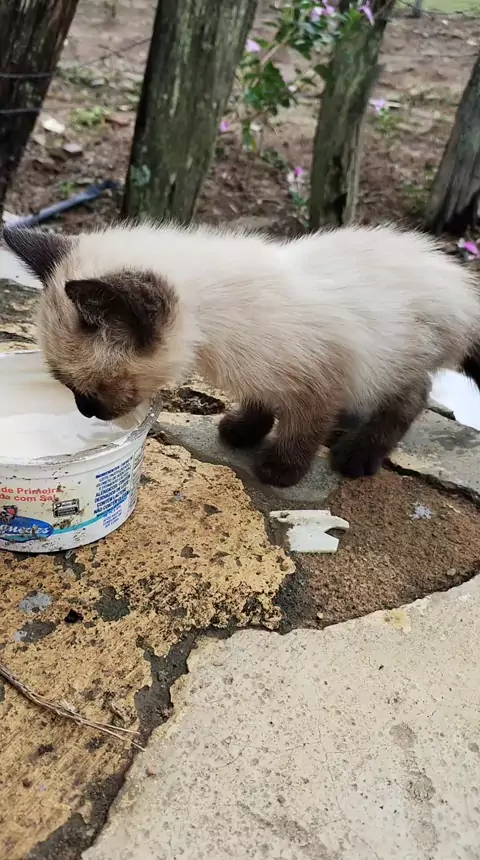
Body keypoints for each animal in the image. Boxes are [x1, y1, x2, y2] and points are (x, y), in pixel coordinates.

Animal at [3, 220, 480, 487]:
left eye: (90, 391)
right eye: (67, 388)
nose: (85, 412)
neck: (215, 335)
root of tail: (459, 283)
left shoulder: (319, 379)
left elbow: (303, 427)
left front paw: (282, 470)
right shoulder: (269, 377)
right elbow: (261, 403)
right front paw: (242, 430)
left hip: (397, 360)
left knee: (412, 398)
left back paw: (357, 454)